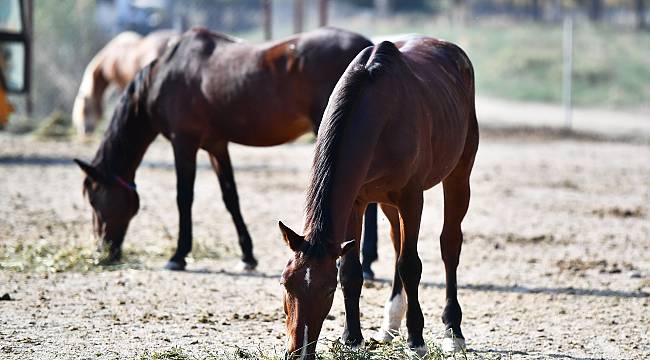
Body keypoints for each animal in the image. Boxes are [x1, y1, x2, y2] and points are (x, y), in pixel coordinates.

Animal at [73, 26, 372, 272]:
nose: (102, 252)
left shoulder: (184, 143)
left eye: (94, 199)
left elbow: (184, 197)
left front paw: (178, 256)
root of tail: (367, 48)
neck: (165, 75)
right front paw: (247, 256)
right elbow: (231, 198)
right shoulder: (216, 146)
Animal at [278, 36, 476, 358]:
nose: (300, 351)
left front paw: (416, 340)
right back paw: (390, 324)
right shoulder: (357, 202)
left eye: (327, 290)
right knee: (397, 243)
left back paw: (452, 331)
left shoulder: (412, 198)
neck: (378, 111)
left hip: (459, 175)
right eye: (285, 283)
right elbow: (351, 269)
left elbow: (411, 265)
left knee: (449, 246)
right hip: (386, 202)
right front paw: (352, 338)